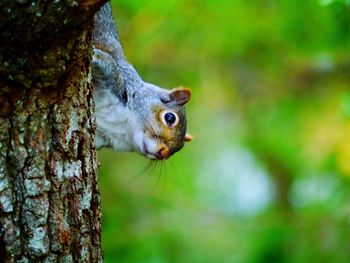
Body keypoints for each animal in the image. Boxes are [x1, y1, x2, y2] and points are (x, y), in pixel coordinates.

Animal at [91, 2, 193, 161]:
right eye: (170, 118)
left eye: (179, 148)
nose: (162, 153)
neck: (125, 126)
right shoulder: (118, 82)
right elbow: (108, 63)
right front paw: (94, 55)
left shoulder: (102, 137)